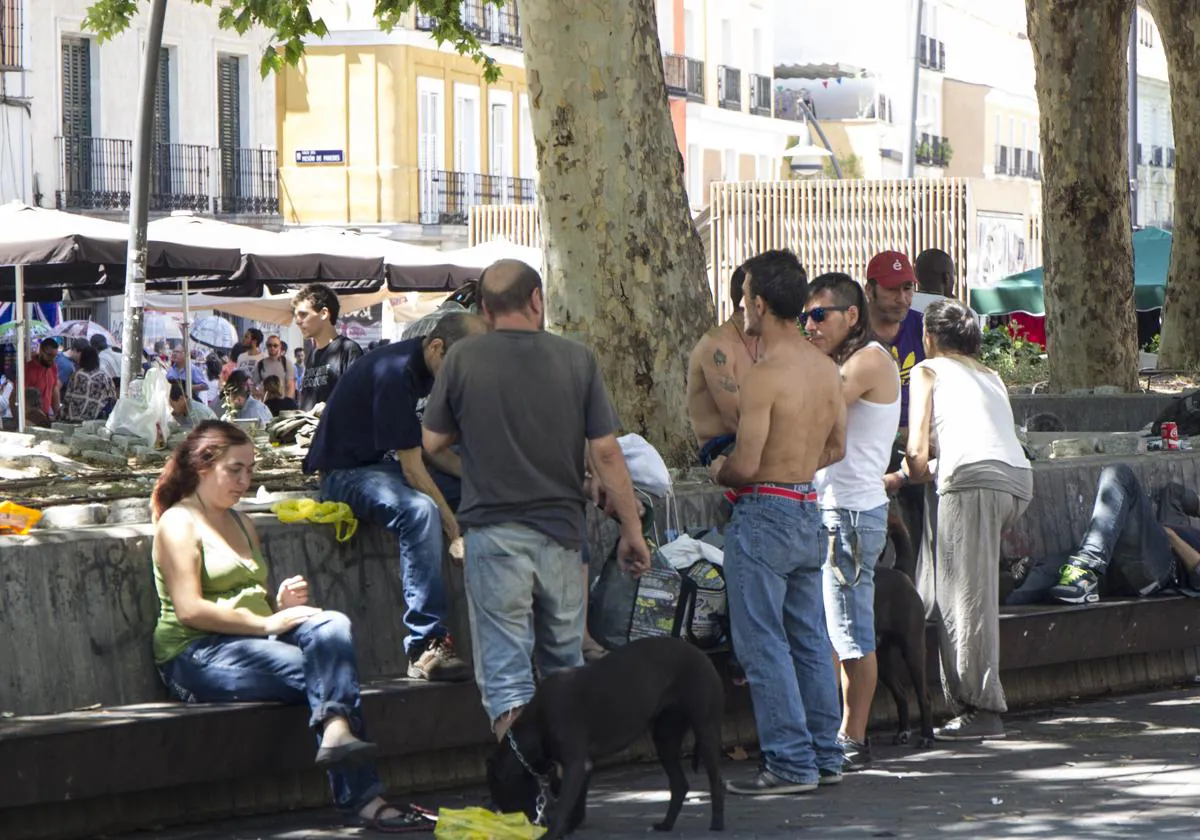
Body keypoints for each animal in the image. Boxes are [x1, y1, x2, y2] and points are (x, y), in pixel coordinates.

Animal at [484, 638, 720, 840]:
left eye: (498, 788)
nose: (496, 811)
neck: (537, 723)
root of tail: (700, 653)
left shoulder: (575, 766)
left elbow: (563, 807)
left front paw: (552, 833)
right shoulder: (580, 766)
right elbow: (574, 802)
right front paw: (569, 827)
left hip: (705, 731)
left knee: (716, 781)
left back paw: (717, 825)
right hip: (665, 738)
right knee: (679, 784)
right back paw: (666, 825)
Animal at [873, 516, 936, 753]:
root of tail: (899, 571)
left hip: (913, 651)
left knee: (924, 697)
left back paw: (927, 737)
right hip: (882, 661)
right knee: (900, 695)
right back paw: (903, 732)